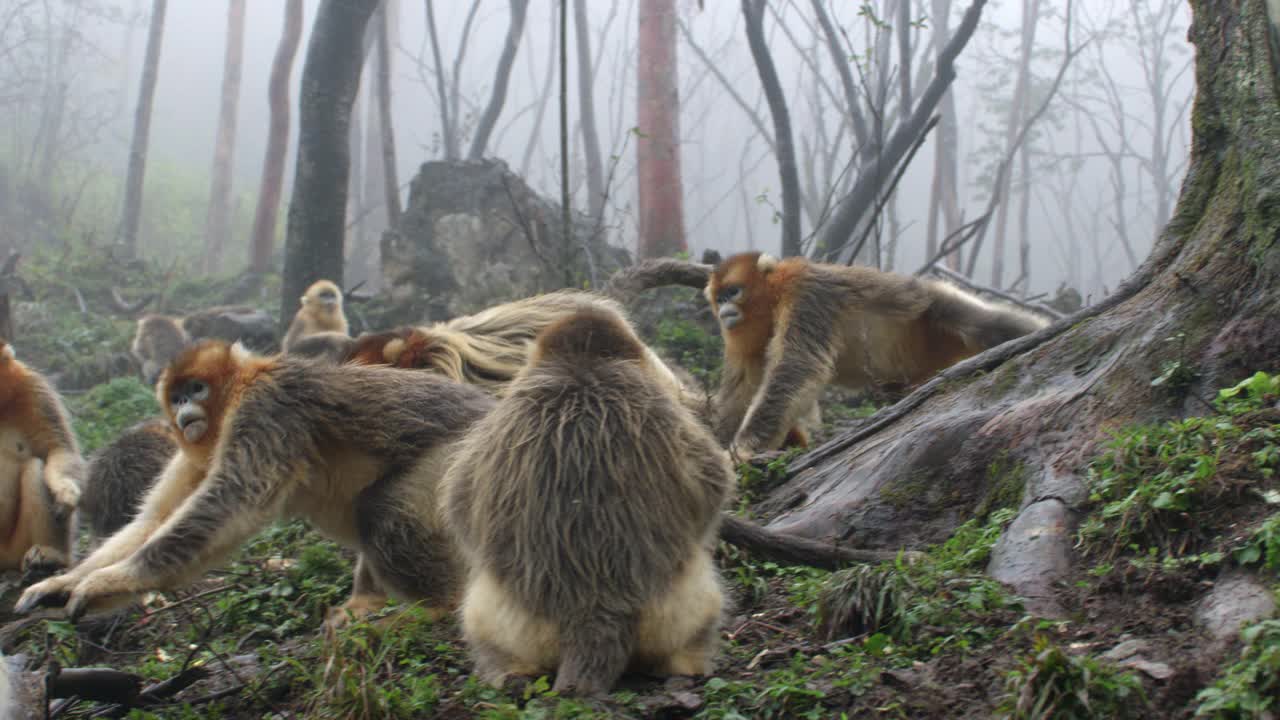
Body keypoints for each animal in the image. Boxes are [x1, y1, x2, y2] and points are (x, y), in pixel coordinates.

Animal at [0, 338, 83, 568]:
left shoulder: (31, 388)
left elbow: (58, 449)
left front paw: (65, 491)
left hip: (16, 547)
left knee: (36, 468)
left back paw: (50, 553)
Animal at [15, 338, 494, 622]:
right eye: (177, 396)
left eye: (196, 389)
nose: (185, 410)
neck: (241, 388)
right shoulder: (196, 452)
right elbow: (153, 521)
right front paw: (60, 584)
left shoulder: (265, 407)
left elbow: (229, 505)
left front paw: (105, 583)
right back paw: (366, 605)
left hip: (459, 462)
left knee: (382, 511)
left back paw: (437, 609)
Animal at [706, 252, 1044, 453]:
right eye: (719, 297)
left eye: (733, 292)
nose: (724, 310)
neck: (774, 297)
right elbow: (742, 389)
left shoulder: (806, 293)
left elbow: (797, 364)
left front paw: (745, 448)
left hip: (935, 305)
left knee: (986, 324)